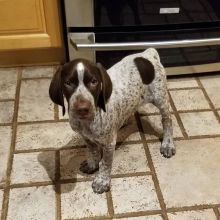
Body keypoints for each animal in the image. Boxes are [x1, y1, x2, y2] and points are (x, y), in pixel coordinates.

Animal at [49, 47, 175, 192]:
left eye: (94, 82)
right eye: (68, 83)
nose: (82, 109)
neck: (87, 122)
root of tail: (148, 53)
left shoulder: (109, 143)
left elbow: (106, 163)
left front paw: (102, 181)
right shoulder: (86, 137)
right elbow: (93, 151)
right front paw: (92, 164)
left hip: (160, 98)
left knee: (167, 120)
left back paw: (167, 144)